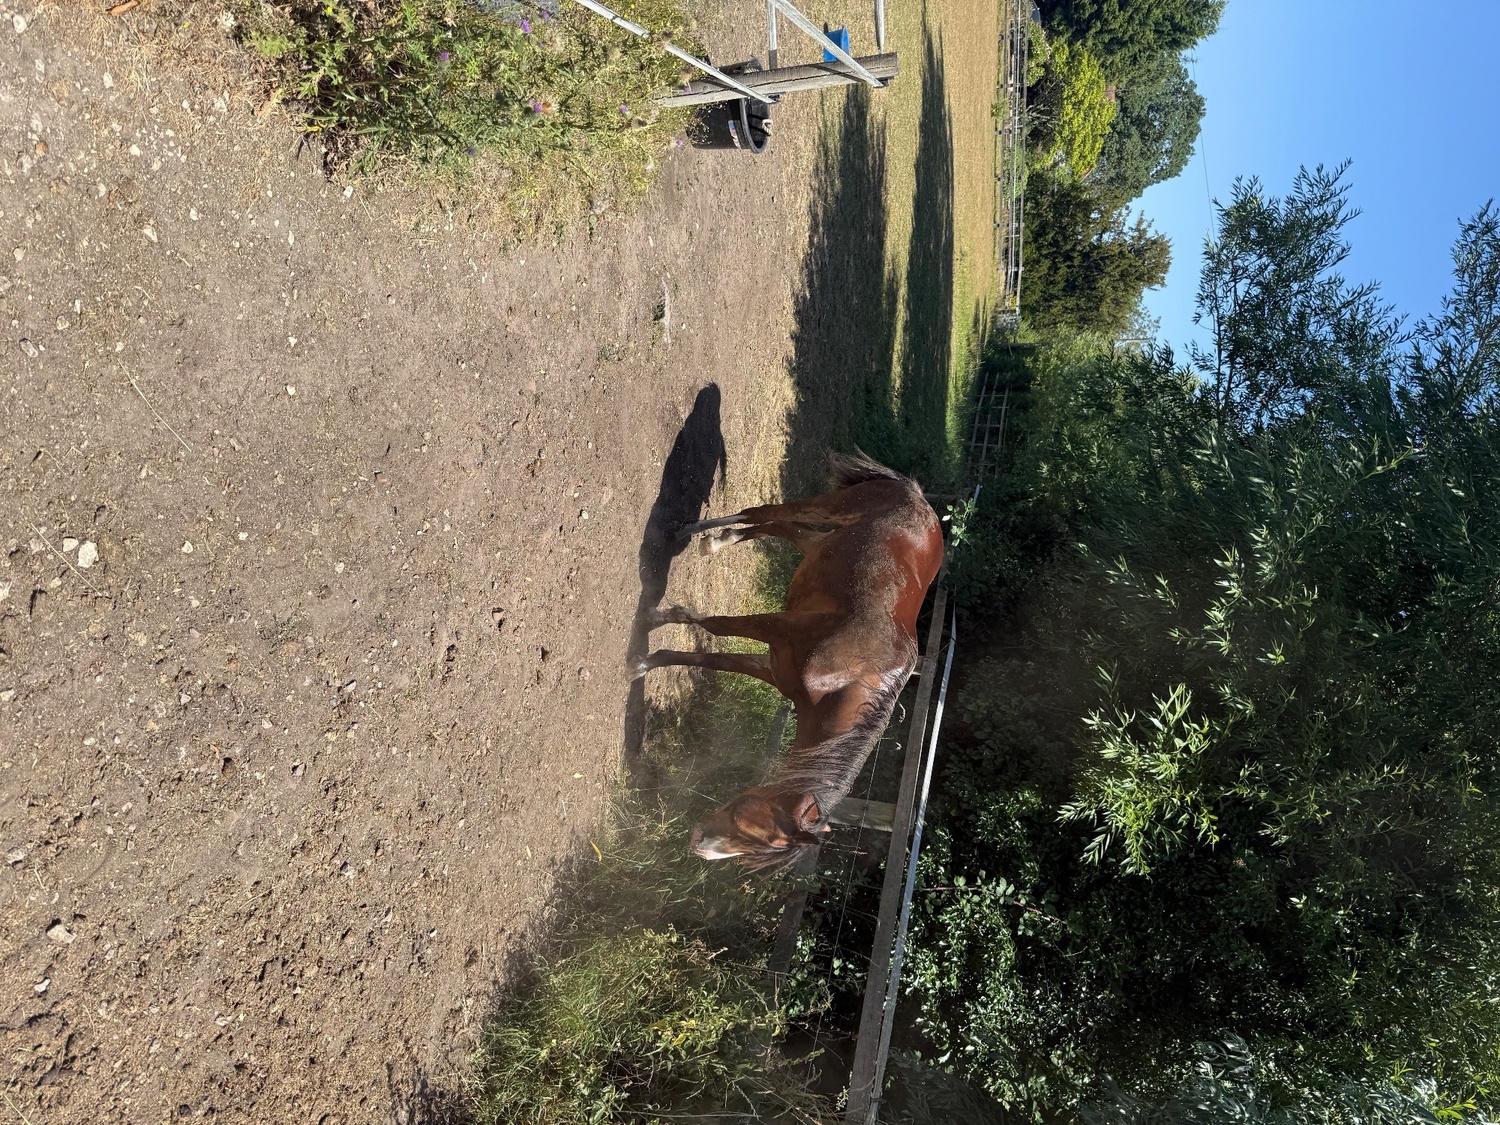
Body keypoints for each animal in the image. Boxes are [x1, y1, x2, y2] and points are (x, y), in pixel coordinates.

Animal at [634, 453, 944, 870]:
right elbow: (716, 626)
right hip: (829, 509)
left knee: (780, 526)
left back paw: (716, 542)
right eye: (743, 821)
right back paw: (694, 531)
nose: (698, 845)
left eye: (751, 843)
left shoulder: (773, 667)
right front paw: (655, 620)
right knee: (766, 513)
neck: (848, 679)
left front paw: (646, 662)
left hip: (819, 544)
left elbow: (710, 658)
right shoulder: (778, 629)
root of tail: (920, 498)